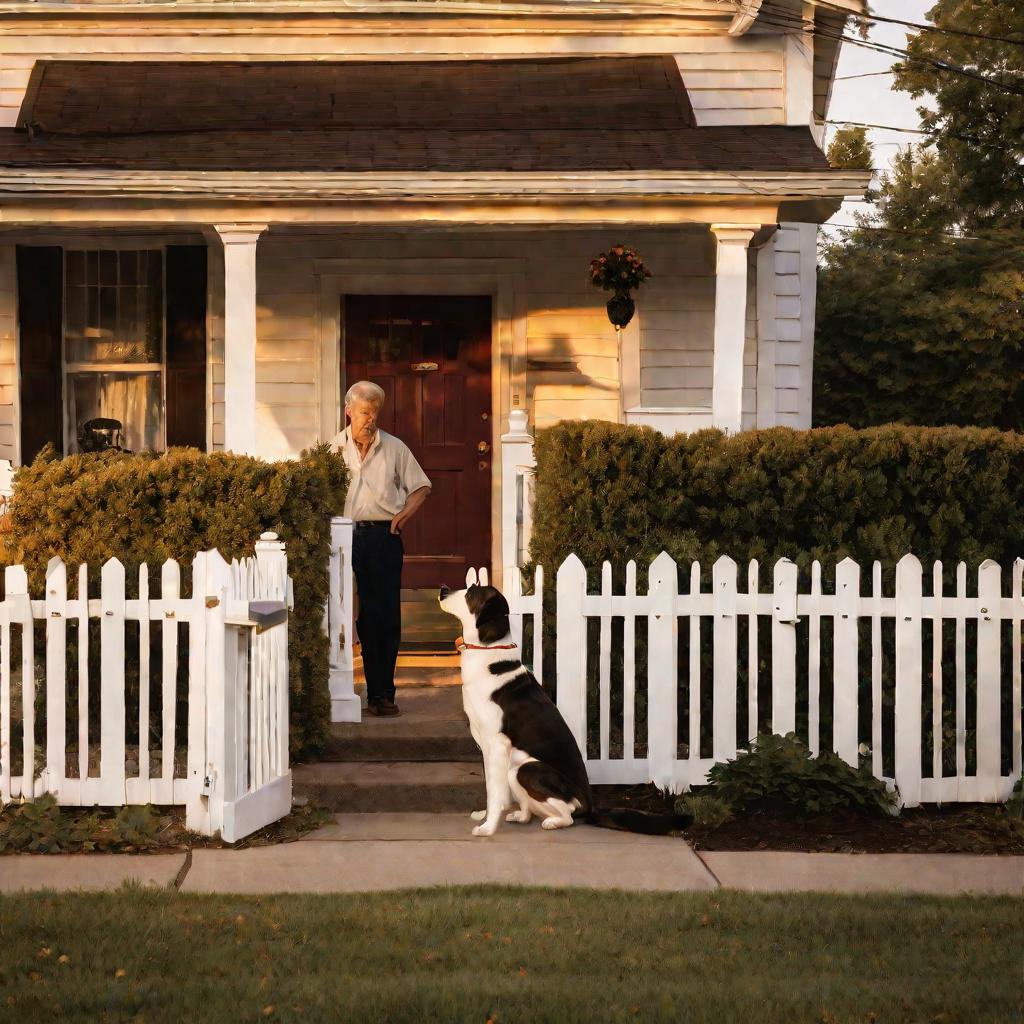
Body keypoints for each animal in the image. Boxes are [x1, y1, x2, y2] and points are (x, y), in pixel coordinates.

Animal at [436, 581, 692, 835]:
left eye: (470, 592)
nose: (442, 589)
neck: (487, 652)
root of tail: (592, 805)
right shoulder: (484, 745)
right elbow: (491, 788)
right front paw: (486, 816)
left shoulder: (497, 745)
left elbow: (495, 793)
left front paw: (488, 828)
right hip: (515, 770)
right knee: (530, 810)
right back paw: (521, 816)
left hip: (527, 769)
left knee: (569, 813)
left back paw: (553, 822)